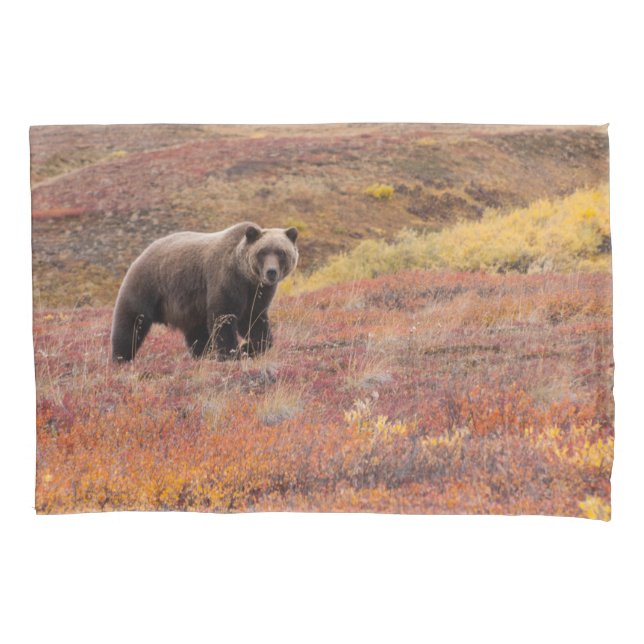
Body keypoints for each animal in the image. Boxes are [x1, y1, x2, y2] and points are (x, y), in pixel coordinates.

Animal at [111, 222, 298, 362]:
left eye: (281, 252)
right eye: (262, 252)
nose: (271, 272)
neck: (246, 277)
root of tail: (143, 252)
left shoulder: (257, 293)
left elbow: (255, 321)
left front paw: (248, 348)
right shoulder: (226, 280)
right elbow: (223, 318)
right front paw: (231, 353)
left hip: (189, 307)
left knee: (197, 333)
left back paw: (203, 355)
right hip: (148, 285)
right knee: (131, 322)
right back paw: (121, 357)